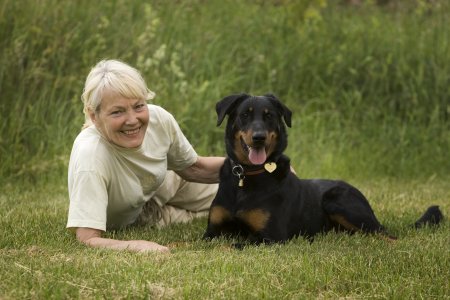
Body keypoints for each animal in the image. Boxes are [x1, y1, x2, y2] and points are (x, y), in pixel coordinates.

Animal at [204, 93, 442, 244]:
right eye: (244, 114)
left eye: (269, 115)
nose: (259, 137)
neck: (247, 175)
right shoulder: (212, 232)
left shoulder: (271, 236)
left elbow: (230, 247)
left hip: (338, 200)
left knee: (387, 235)